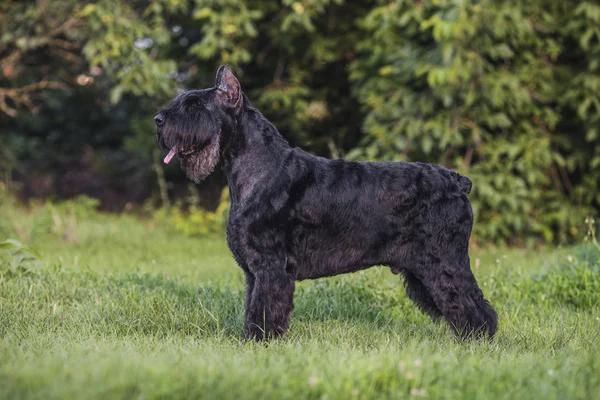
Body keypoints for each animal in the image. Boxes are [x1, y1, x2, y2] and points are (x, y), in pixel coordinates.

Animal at [154, 65, 496, 340]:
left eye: (195, 105)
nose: (158, 119)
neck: (258, 168)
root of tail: (457, 181)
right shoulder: (255, 272)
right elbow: (254, 306)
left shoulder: (271, 265)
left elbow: (266, 307)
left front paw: (261, 341)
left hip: (442, 261)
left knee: (473, 303)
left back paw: (479, 339)